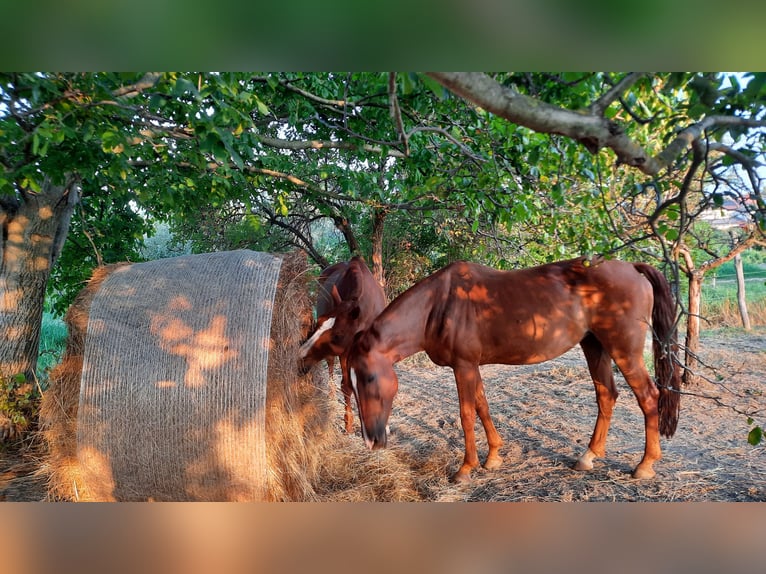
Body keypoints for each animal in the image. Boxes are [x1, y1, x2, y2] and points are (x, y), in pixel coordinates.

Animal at [296, 256, 388, 432]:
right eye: (318, 322)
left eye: (338, 335)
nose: (300, 358)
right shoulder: (346, 353)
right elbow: (347, 386)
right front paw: (349, 422)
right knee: (331, 367)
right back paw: (331, 396)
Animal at [348, 258, 684, 484]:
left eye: (368, 377)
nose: (371, 440)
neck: (439, 305)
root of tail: (632, 266)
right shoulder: (471, 366)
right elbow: (482, 406)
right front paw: (494, 456)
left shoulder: (463, 366)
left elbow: (466, 414)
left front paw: (465, 468)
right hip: (594, 346)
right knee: (607, 395)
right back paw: (588, 456)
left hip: (623, 350)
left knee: (648, 397)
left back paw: (645, 465)